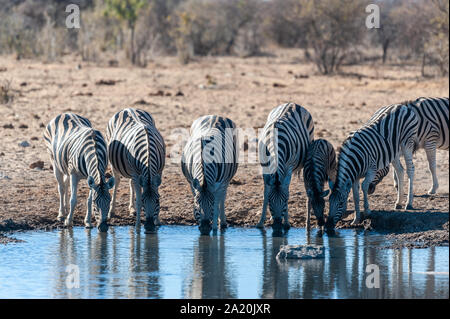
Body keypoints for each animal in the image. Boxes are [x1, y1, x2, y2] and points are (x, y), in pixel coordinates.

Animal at [256, 104, 312, 234]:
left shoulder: (289, 167)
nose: (277, 225)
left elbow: (286, 190)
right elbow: (265, 193)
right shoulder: (264, 168)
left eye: (285, 200)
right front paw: (261, 222)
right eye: (270, 201)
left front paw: (286, 222)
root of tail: (292, 103)